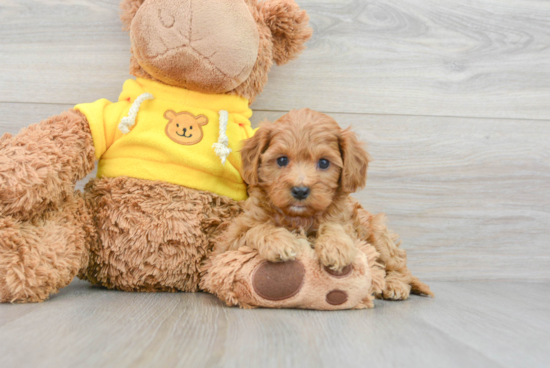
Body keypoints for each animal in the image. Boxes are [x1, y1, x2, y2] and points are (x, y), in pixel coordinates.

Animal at [213, 108, 434, 300]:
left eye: (324, 163)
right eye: (282, 160)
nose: (300, 190)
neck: (298, 218)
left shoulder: (347, 223)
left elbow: (334, 226)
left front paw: (335, 247)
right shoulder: (227, 243)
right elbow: (255, 229)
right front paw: (279, 241)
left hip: (378, 232)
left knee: (399, 265)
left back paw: (395, 286)